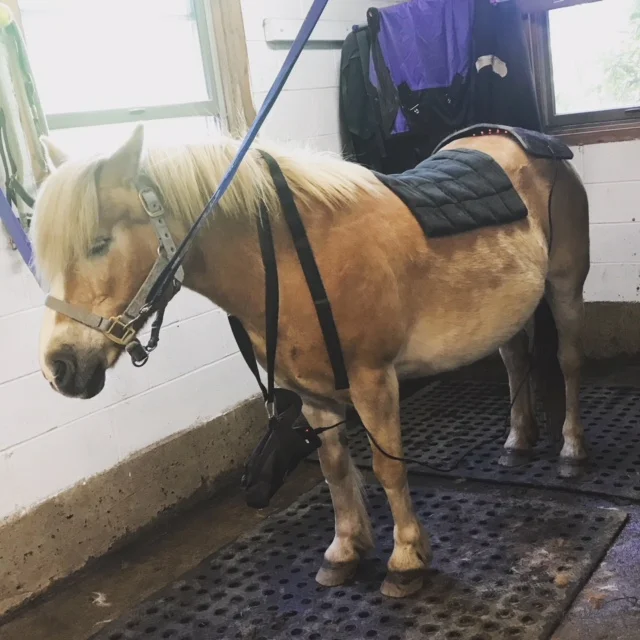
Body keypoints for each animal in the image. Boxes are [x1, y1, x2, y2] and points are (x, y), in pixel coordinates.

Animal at [32, 123, 590, 598]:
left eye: (100, 243)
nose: (59, 368)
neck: (291, 259)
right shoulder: (312, 393)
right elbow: (334, 470)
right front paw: (345, 551)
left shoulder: (374, 383)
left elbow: (388, 470)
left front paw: (406, 560)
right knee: (516, 360)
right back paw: (518, 441)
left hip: (564, 289)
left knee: (567, 363)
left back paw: (570, 450)